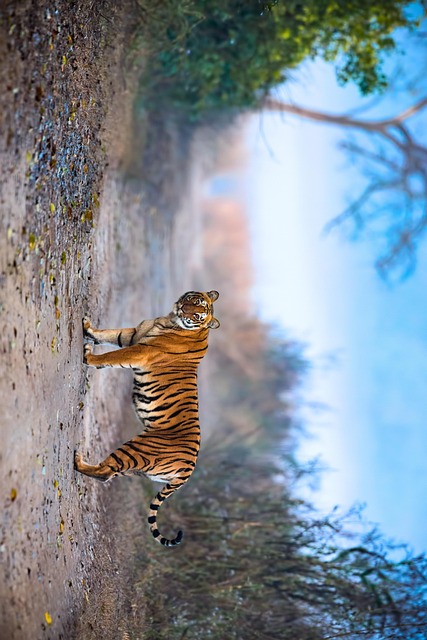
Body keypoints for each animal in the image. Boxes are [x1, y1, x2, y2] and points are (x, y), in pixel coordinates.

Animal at [74, 290, 220, 547]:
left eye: (198, 314)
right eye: (195, 301)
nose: (185, 310)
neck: (170, 320)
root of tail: (189, 469)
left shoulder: (138, 350)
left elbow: (112, 355)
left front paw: (89, 357)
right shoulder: (132, 334)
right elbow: (109, 334)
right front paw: (88, 328)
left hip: (135, 449)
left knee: (104, 472)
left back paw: (77, 460)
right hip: (136, 467)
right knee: (109, 474)